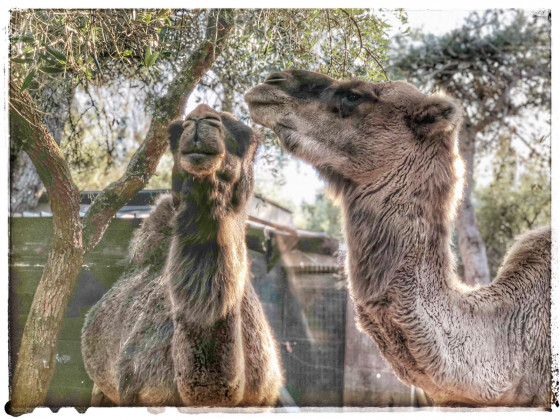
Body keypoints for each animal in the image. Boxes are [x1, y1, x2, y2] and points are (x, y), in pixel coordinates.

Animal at [82, 102, 284, 406]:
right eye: (174, 134)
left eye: (247, 139)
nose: (200, 117)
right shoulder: (133, 393)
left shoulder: (262, 401)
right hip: (104, 387)